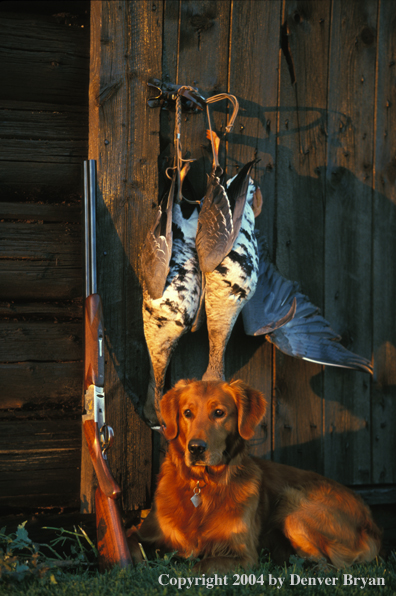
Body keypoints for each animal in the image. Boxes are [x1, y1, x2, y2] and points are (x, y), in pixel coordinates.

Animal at [128, 382, 382, 572]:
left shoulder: (243, 555)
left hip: (292, 507)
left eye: (219, 413)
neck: (203, 484)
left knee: (328, 567)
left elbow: (200, 566)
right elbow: (132, 543)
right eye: (187, 413)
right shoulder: (145, 532)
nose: (196, 448)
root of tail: (371, 521)